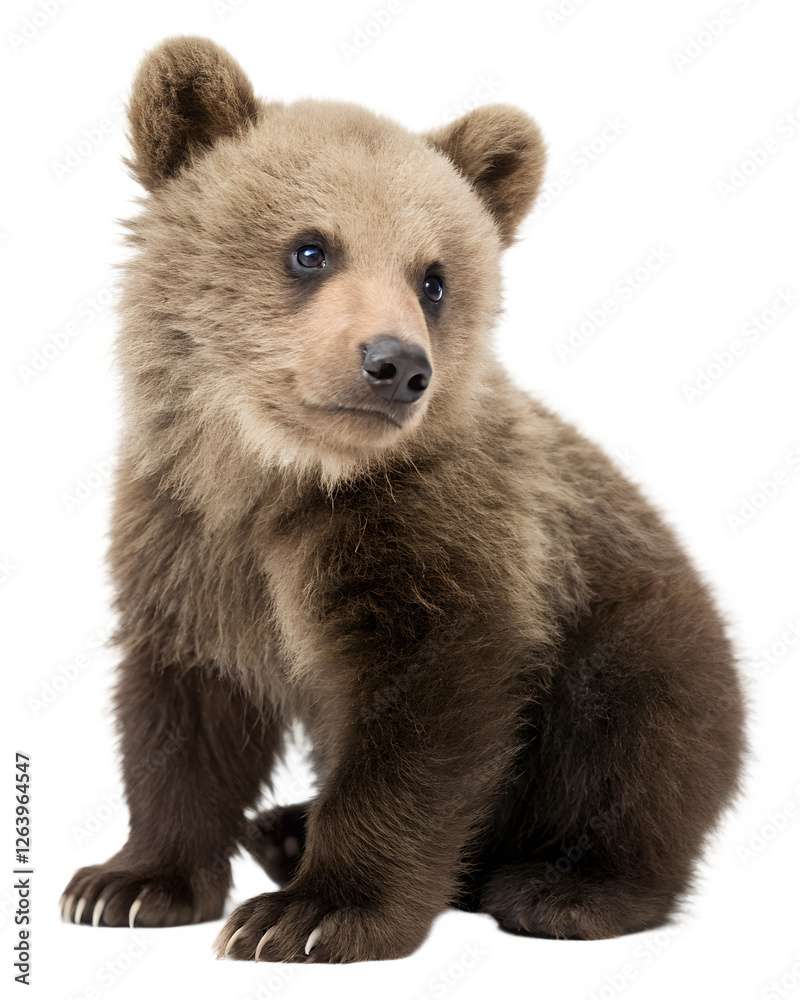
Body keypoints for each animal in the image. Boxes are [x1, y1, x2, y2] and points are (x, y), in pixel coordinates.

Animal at [60, 36, 746, 963]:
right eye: (311, 249)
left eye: (434, 278)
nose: (395, 365)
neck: (283, 476)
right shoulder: (186, 539)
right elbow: (184, 710)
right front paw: (126, 885)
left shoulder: (434, 537)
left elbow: (423, 726)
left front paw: (311, 914)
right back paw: (281, 828)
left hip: (642, 633)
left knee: (641, 746)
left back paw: (565, 890)